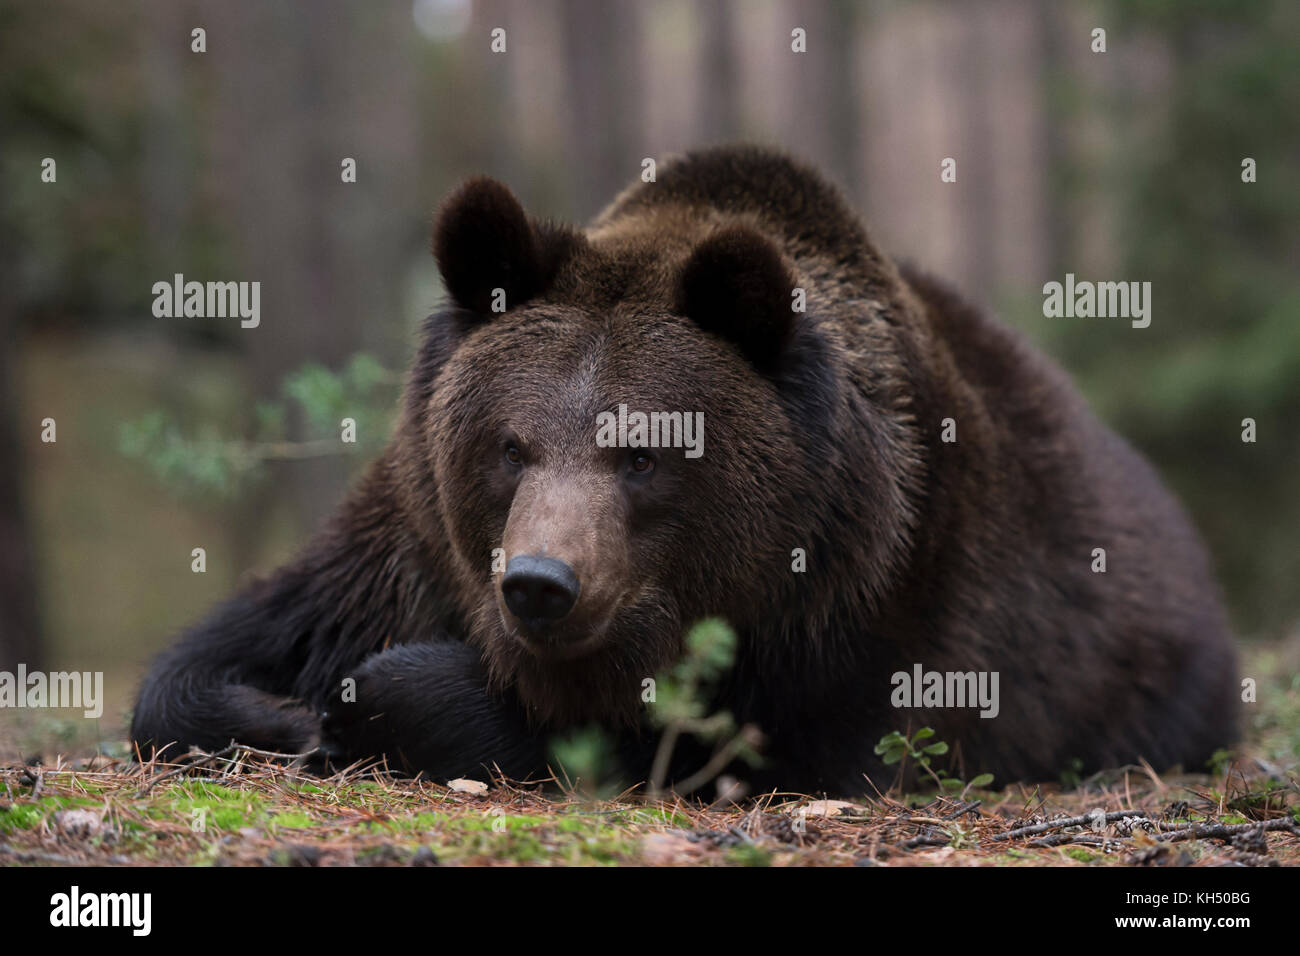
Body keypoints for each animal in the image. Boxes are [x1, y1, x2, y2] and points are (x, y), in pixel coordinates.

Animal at [130, 145, 1239, 794]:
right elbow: (234, 645)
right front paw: (272, 707)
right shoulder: (409, 526)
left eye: (643, 453)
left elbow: (708, 742)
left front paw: (370, 697)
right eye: (510, 445)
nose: (540, 583)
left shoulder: (869, 595)